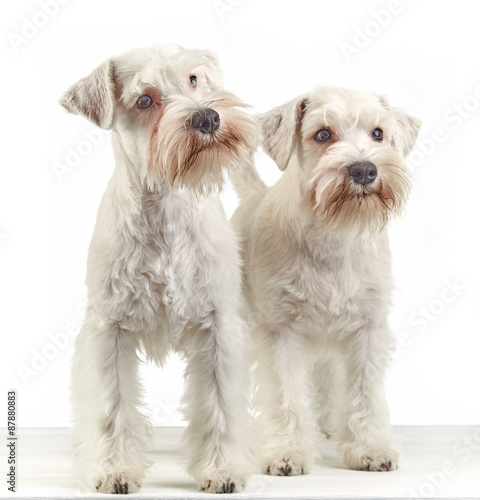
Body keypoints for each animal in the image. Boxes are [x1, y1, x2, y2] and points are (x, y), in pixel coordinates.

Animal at [59, 44, 256, 496]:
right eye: (145, 100)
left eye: (194, 79)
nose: (207, 118)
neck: (166, 202)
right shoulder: (108, 330)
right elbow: (111, 406)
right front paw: (114, 469)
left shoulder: (218, 325)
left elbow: (219, 403)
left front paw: (221, 469)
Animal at [232, 87, 420, 476]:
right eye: (322, 134)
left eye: (378, 133)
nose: (364, 169)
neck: (334, 235)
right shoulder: (279, 332)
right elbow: (285, 395)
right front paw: (287, 452)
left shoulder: (367, 328)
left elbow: (364, 392)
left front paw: (370, 447)